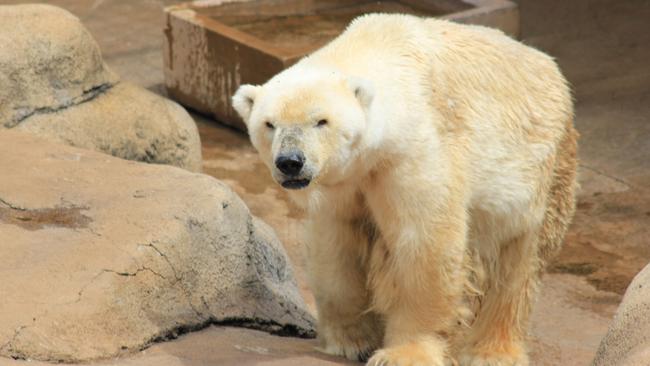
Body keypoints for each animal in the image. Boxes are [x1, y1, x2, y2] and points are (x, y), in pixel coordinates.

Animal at [230, 13, 576, 366]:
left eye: (321, 121)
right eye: (269, 124)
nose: (290, 162)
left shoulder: (415, 153)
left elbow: (424, 242)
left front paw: (403, 353)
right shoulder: (342, 183)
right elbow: (336, 242)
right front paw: (349, 341)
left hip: (544, 172)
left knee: (518, 263)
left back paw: (492, 352)